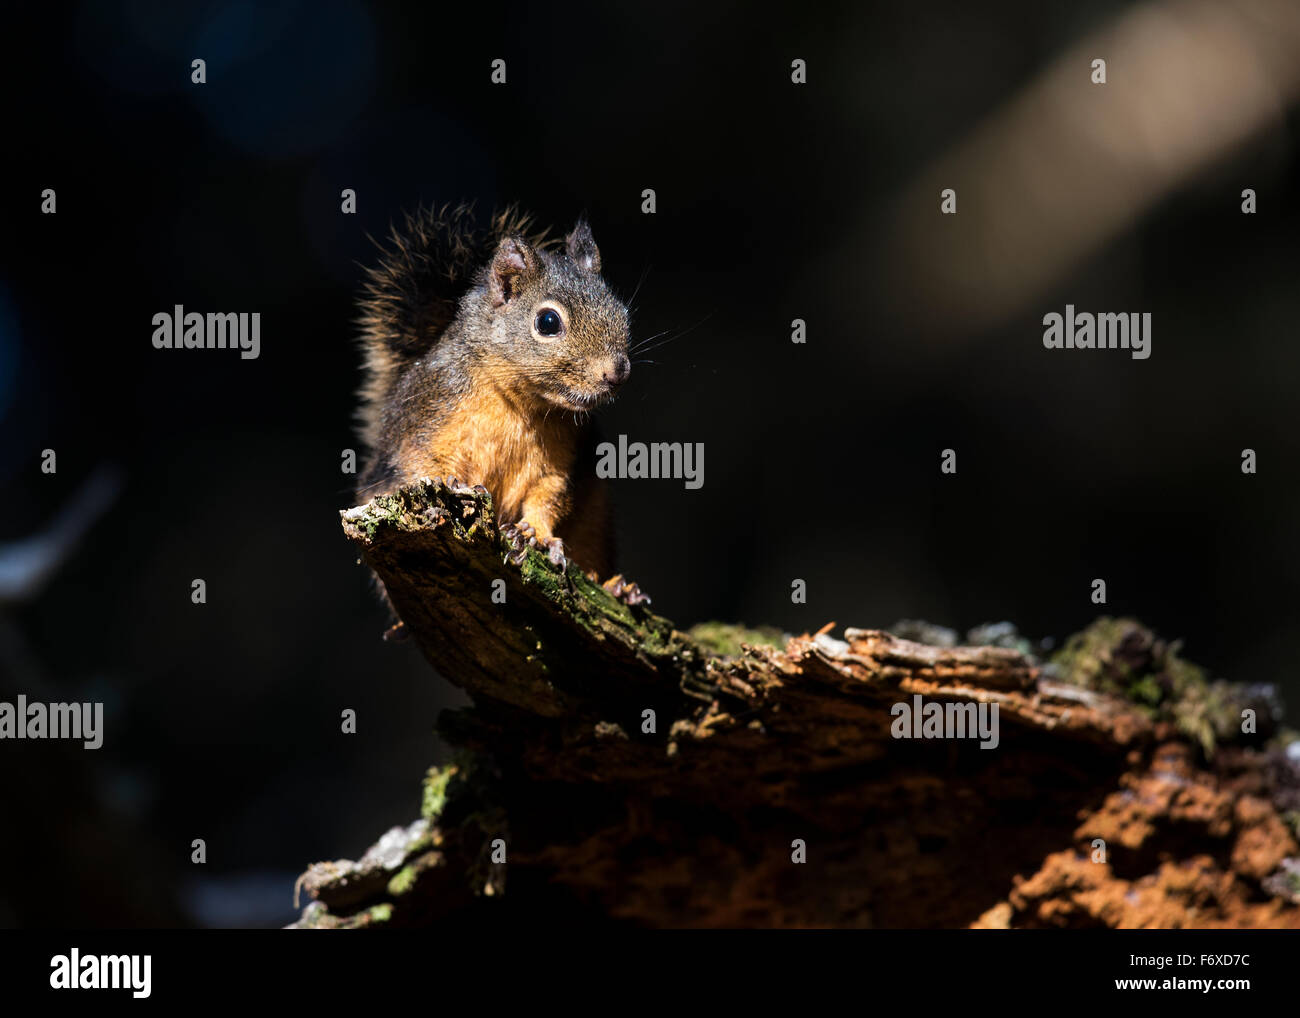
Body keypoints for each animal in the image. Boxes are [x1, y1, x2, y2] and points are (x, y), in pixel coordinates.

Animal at [354, 202, 644, 600]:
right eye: (548, 322)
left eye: (621, 313)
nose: (617, 372)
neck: (518, 403)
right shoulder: (427, 409)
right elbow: (419, 463)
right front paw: (451, 484)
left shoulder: (563, 456)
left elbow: (548, 496)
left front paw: (537, 535)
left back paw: (619, 590)